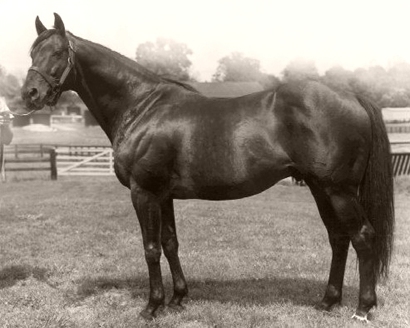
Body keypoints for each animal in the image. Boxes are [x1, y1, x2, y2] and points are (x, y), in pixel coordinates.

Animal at [20, 14, 394, 322]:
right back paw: (328, 302)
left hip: (339, 190)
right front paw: (177, 299)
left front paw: (151, 306)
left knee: (362, 236)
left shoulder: (144, 192)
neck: (141, 106)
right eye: (32, 52)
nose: (29, 94)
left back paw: (363, 308)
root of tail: (353, 96)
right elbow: (170, 243)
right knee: (338, 238)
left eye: (58, 52)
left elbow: (150, 248)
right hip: (320, 188)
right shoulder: (163, 195)